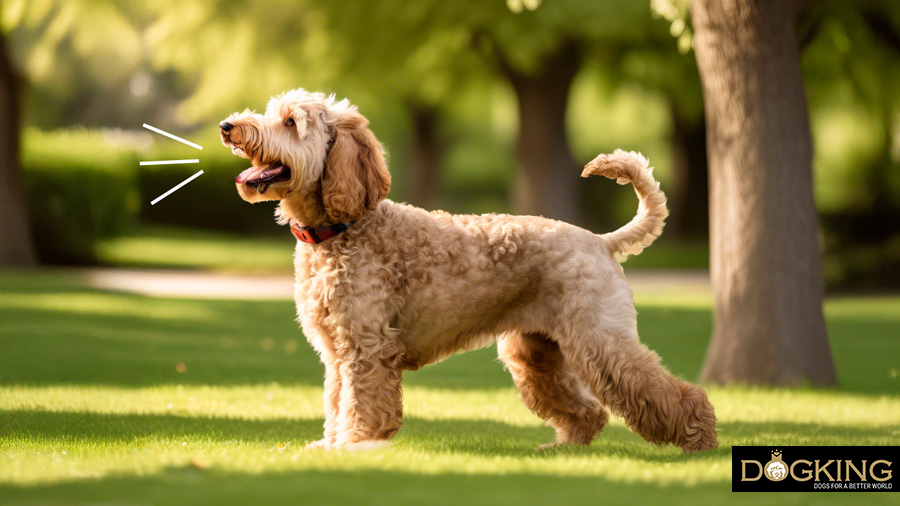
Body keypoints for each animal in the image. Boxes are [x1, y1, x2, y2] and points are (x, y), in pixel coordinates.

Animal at [220, 89, 716, 452]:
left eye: (290, 121)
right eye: (271, 112)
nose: (228, 127)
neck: (345, 228)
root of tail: (599, 240)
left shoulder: (368, 348)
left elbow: (363, 404)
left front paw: (356, 446)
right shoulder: (338, 353)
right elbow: (337, 400)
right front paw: (330, 445)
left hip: (600, 341)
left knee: (668, 390)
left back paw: (699, 439)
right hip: (535, 354)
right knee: (588, 410)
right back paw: (563, 448)